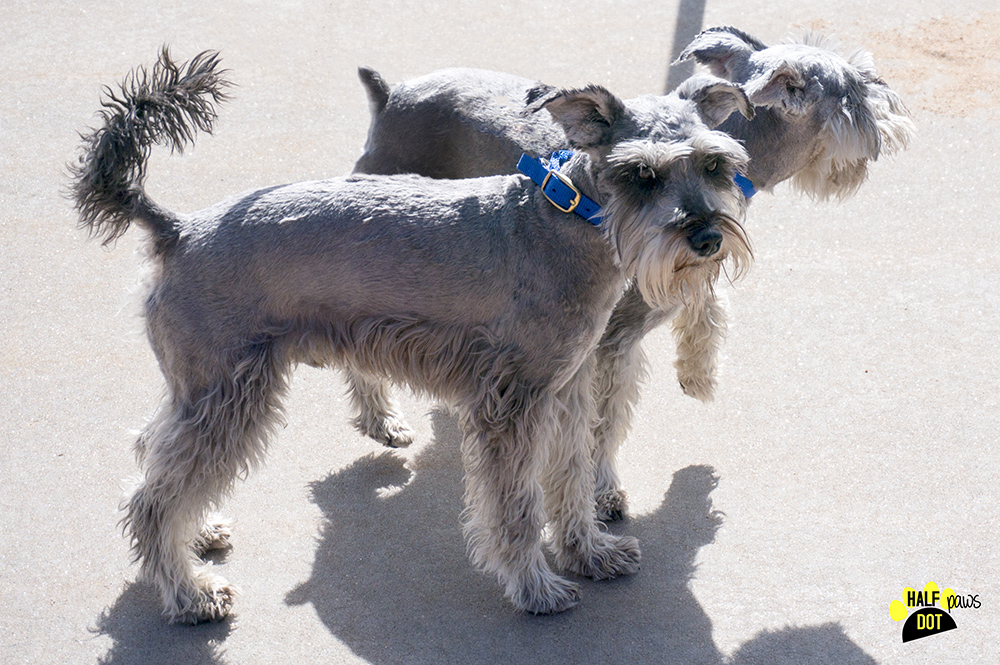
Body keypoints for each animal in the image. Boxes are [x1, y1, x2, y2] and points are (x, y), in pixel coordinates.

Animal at [70, 49, 752, 620]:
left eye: (715, 164)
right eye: (641, 174)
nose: (706, 237)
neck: (568, 219)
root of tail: (175, 229)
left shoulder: (567, 387)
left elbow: (573, 474)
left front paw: (590, 552)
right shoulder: (514, 404)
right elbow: (517, 506)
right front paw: (535, 586)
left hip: (200, 389)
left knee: (152, 448)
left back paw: (203, 529)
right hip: (227, 392)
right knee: (152, 499)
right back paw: (191, 594)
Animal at [350, 26, 916, 520]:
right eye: (859, 85)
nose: (896, 109)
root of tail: (390, 96)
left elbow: (703, 307)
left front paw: (698, 372)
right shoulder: (609, 341)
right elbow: (602, 423)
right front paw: (602, 493)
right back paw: (383, 420)